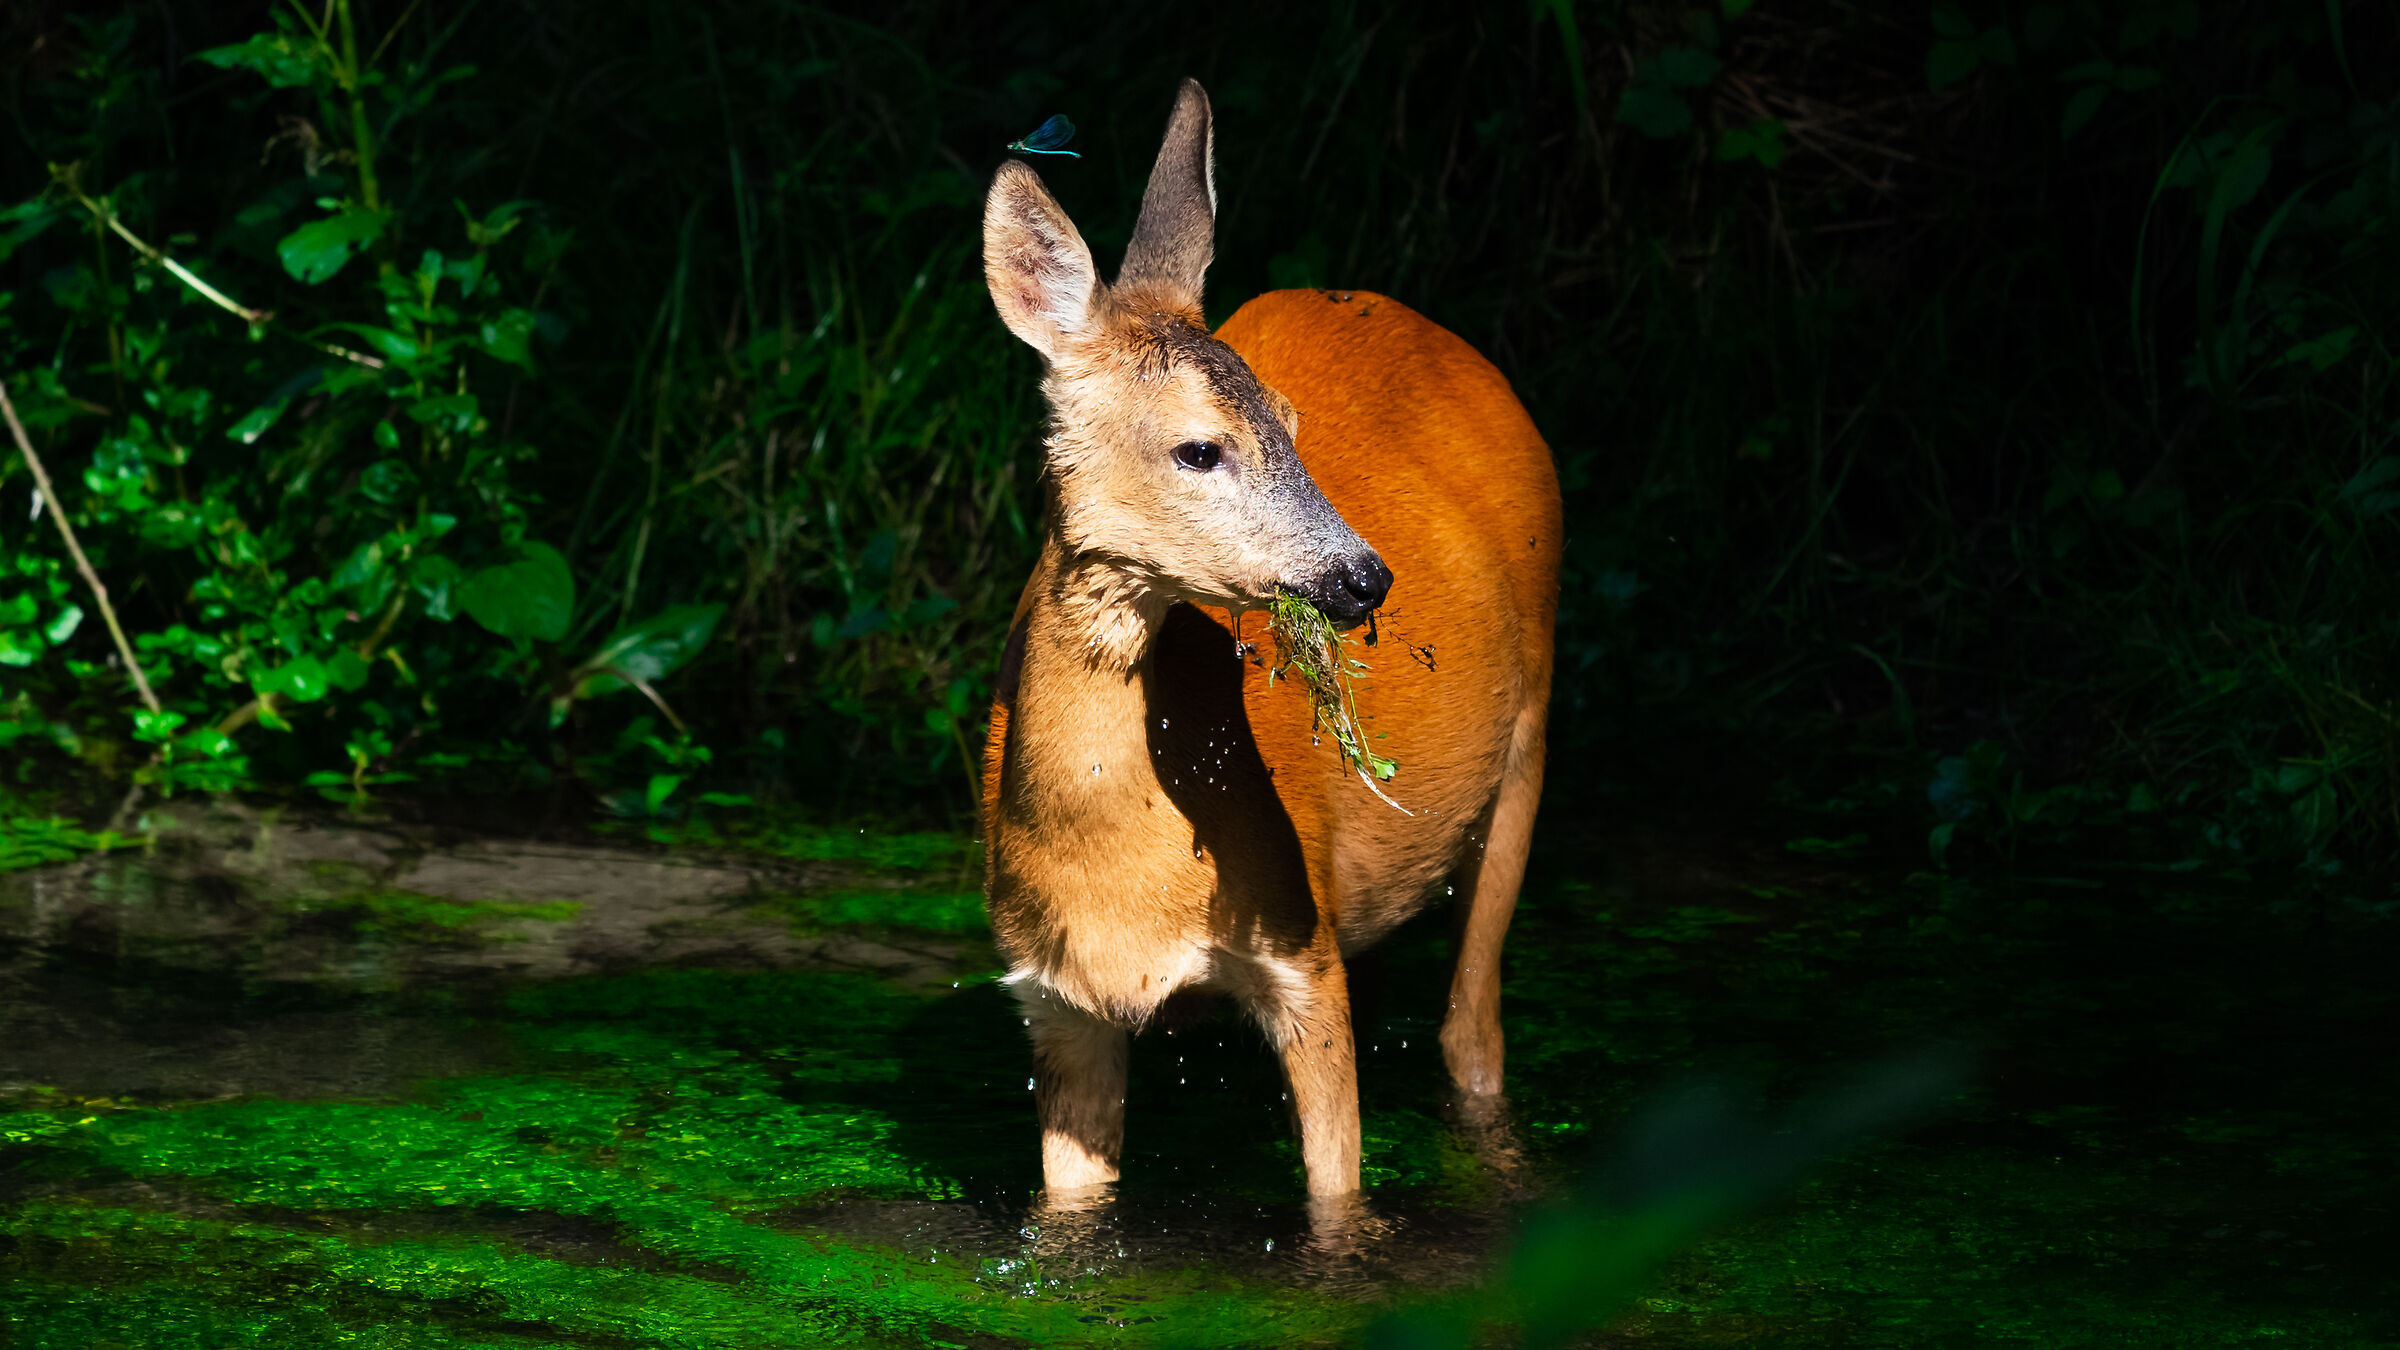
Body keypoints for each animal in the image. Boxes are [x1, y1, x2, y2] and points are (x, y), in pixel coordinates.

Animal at [979, 78, 1561, 1199]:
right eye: (1199, 449)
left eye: (1291, 424)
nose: (1365, 576)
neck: (1120, 877)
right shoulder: (1056, 998)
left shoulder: (1304, 950)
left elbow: (1338, 1194)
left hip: (1529, 737)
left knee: (1471, 1032)